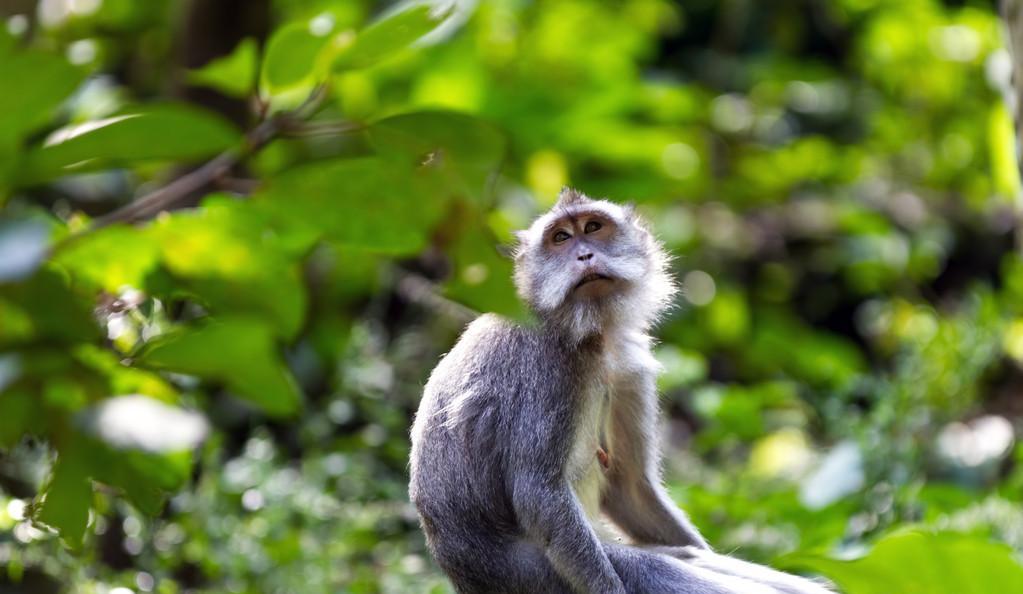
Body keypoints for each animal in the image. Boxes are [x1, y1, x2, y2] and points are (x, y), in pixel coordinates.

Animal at [407, 190, 830, 592]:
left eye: (593, 227)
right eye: (561, 238)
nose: (584, 254)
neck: (587, 332)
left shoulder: (627, 367)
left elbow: (629, 488)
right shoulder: (546, 368)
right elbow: (538, 493)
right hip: (532, 577)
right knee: (649, 568)